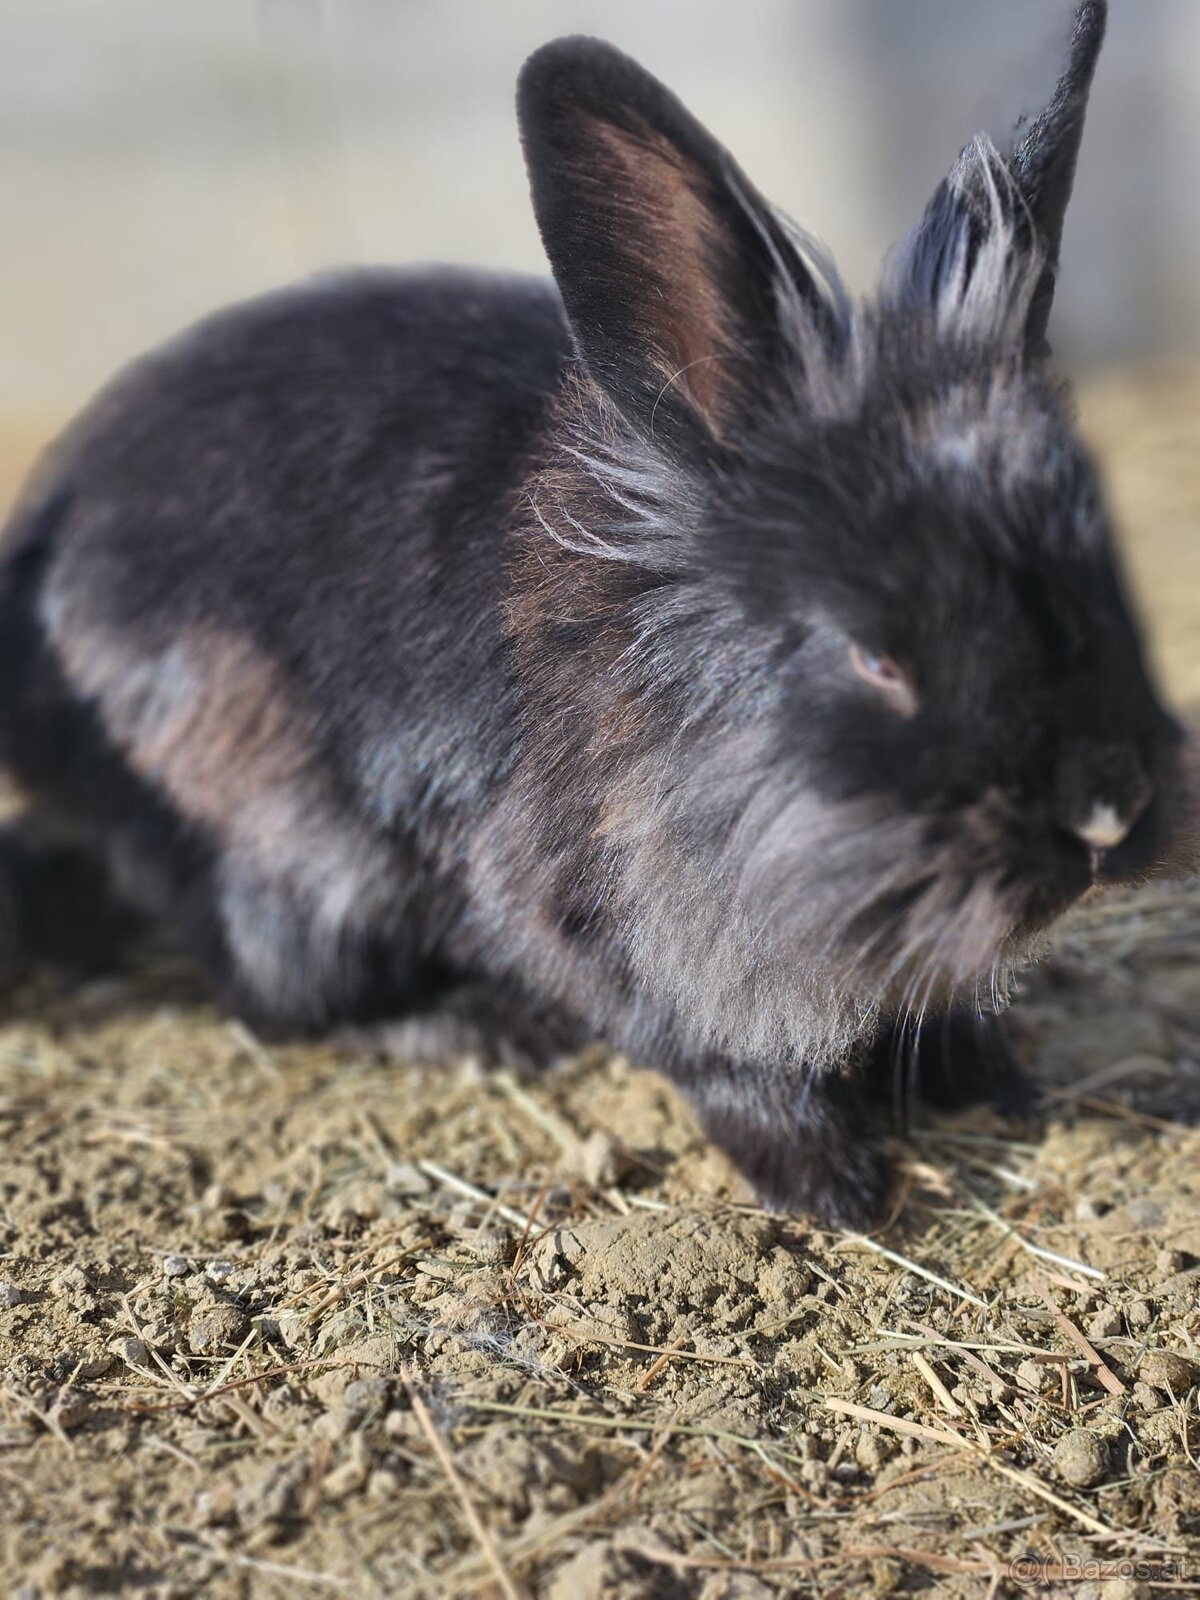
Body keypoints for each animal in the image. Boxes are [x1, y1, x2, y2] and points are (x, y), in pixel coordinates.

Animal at [0, 0, 1193, 1229]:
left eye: (1109, 579)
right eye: (876, 658)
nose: (1108, 808)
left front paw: (993, 1081)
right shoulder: (590, 921)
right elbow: (723, 1063)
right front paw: (835, 1187)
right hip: (288, 860)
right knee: (281, 997)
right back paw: (485, 1026)